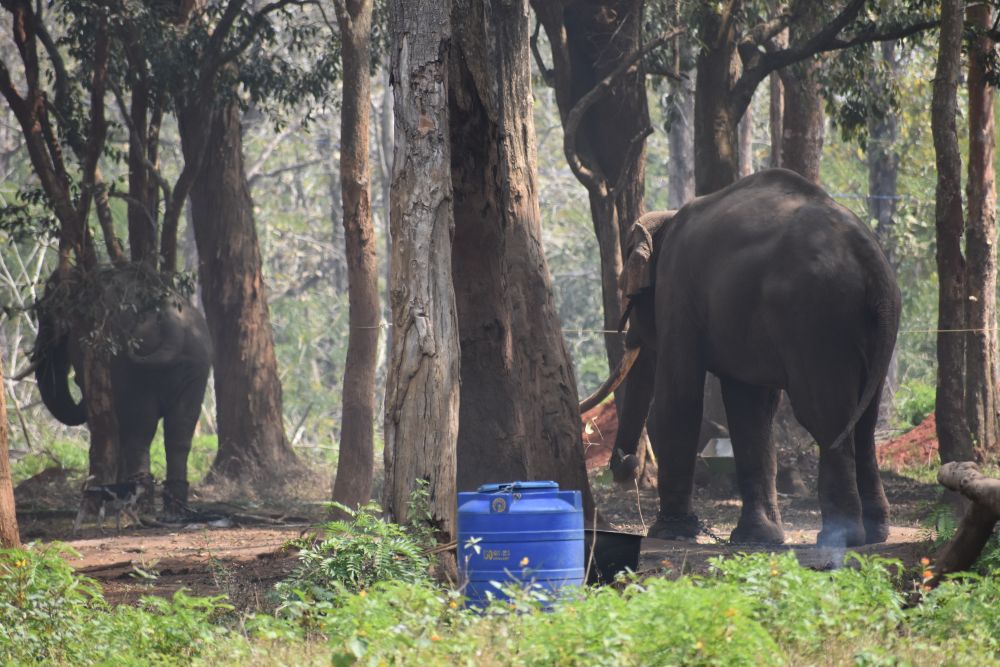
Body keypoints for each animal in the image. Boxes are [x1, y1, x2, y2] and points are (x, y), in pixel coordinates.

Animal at [33, 272, 212, 512]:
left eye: (46, 316)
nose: (78, 381)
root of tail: (172, 324)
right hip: (196, 366)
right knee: (180, 429)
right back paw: (173, 506)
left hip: (135, 370)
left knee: (141, 429)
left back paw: (138, 500)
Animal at [584, 168, 904, 548]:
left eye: (629, 294)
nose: (625, 464)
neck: (668, 218)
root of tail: (868, 254)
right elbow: (749, 408)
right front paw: (757, 538)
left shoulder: (676, 291)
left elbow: (678, 397)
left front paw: (670, 532)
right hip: (876, 328)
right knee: (865, 421)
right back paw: (876, 533)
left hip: (817, 319)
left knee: (825, 417)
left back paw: (839, 537)